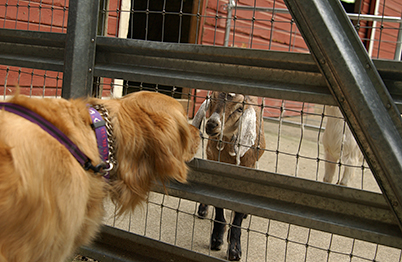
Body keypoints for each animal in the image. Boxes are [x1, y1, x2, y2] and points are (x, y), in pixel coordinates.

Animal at [192, 91, 266, 260]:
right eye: (212, 98)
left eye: (240, 108)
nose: (212, 124)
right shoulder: (214, 162)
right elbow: (218, 203)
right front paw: (217, 239)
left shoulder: (247, 168)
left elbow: (238, 211)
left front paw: (234, 249)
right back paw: (203, 209)